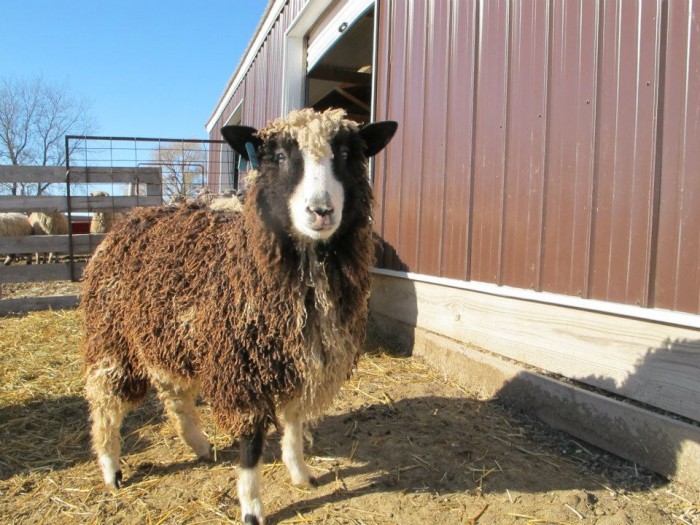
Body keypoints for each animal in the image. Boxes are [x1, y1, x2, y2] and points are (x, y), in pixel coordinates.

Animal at [80, 107, 400, 524]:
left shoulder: (297, 362)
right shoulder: (242, 368)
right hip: (112, 337)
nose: (321, 211)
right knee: (104, 401)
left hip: (166, 334)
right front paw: (251, 507)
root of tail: (128, 220)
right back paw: (111, 468)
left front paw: (301, 474)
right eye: (278, 157)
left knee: (172, 392)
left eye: (347, 155)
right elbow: (250, 445)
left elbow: (293, 423)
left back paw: (198, 445)